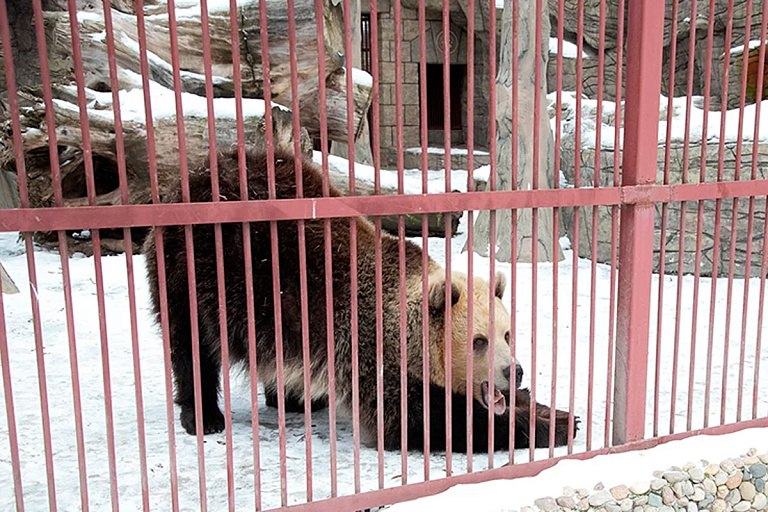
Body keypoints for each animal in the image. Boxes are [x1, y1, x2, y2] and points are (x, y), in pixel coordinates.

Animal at [142, 147, 576, 452]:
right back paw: (203, 416)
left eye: (507, 334)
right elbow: (421, 419)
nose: (513, 371)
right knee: (190, 343)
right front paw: (554, 424)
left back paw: (294, 399)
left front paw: (543, 406)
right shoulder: (369, 349)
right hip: (194, 266)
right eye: (479, 341)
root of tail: (189, 176)